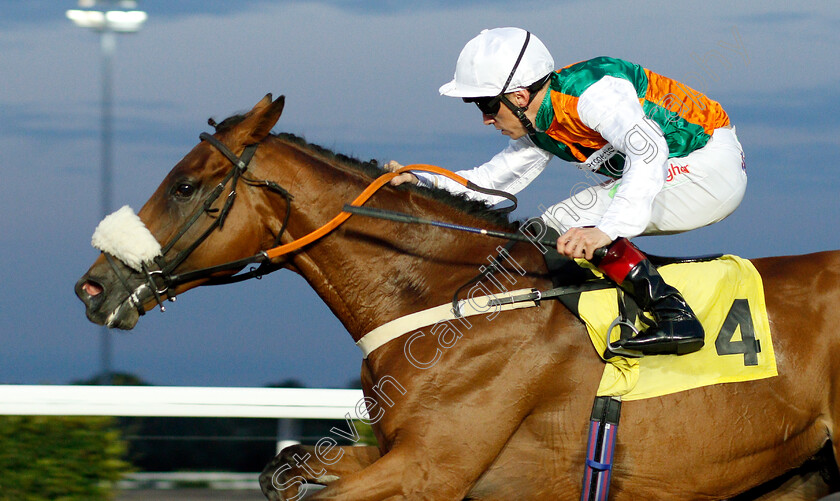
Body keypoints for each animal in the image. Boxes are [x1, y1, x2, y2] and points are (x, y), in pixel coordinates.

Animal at [74, 93, 840, 496]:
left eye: (185, 184)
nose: (93, 284)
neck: (449, 299)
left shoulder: (431, 468)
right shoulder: (395, 453)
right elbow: (284, 468)